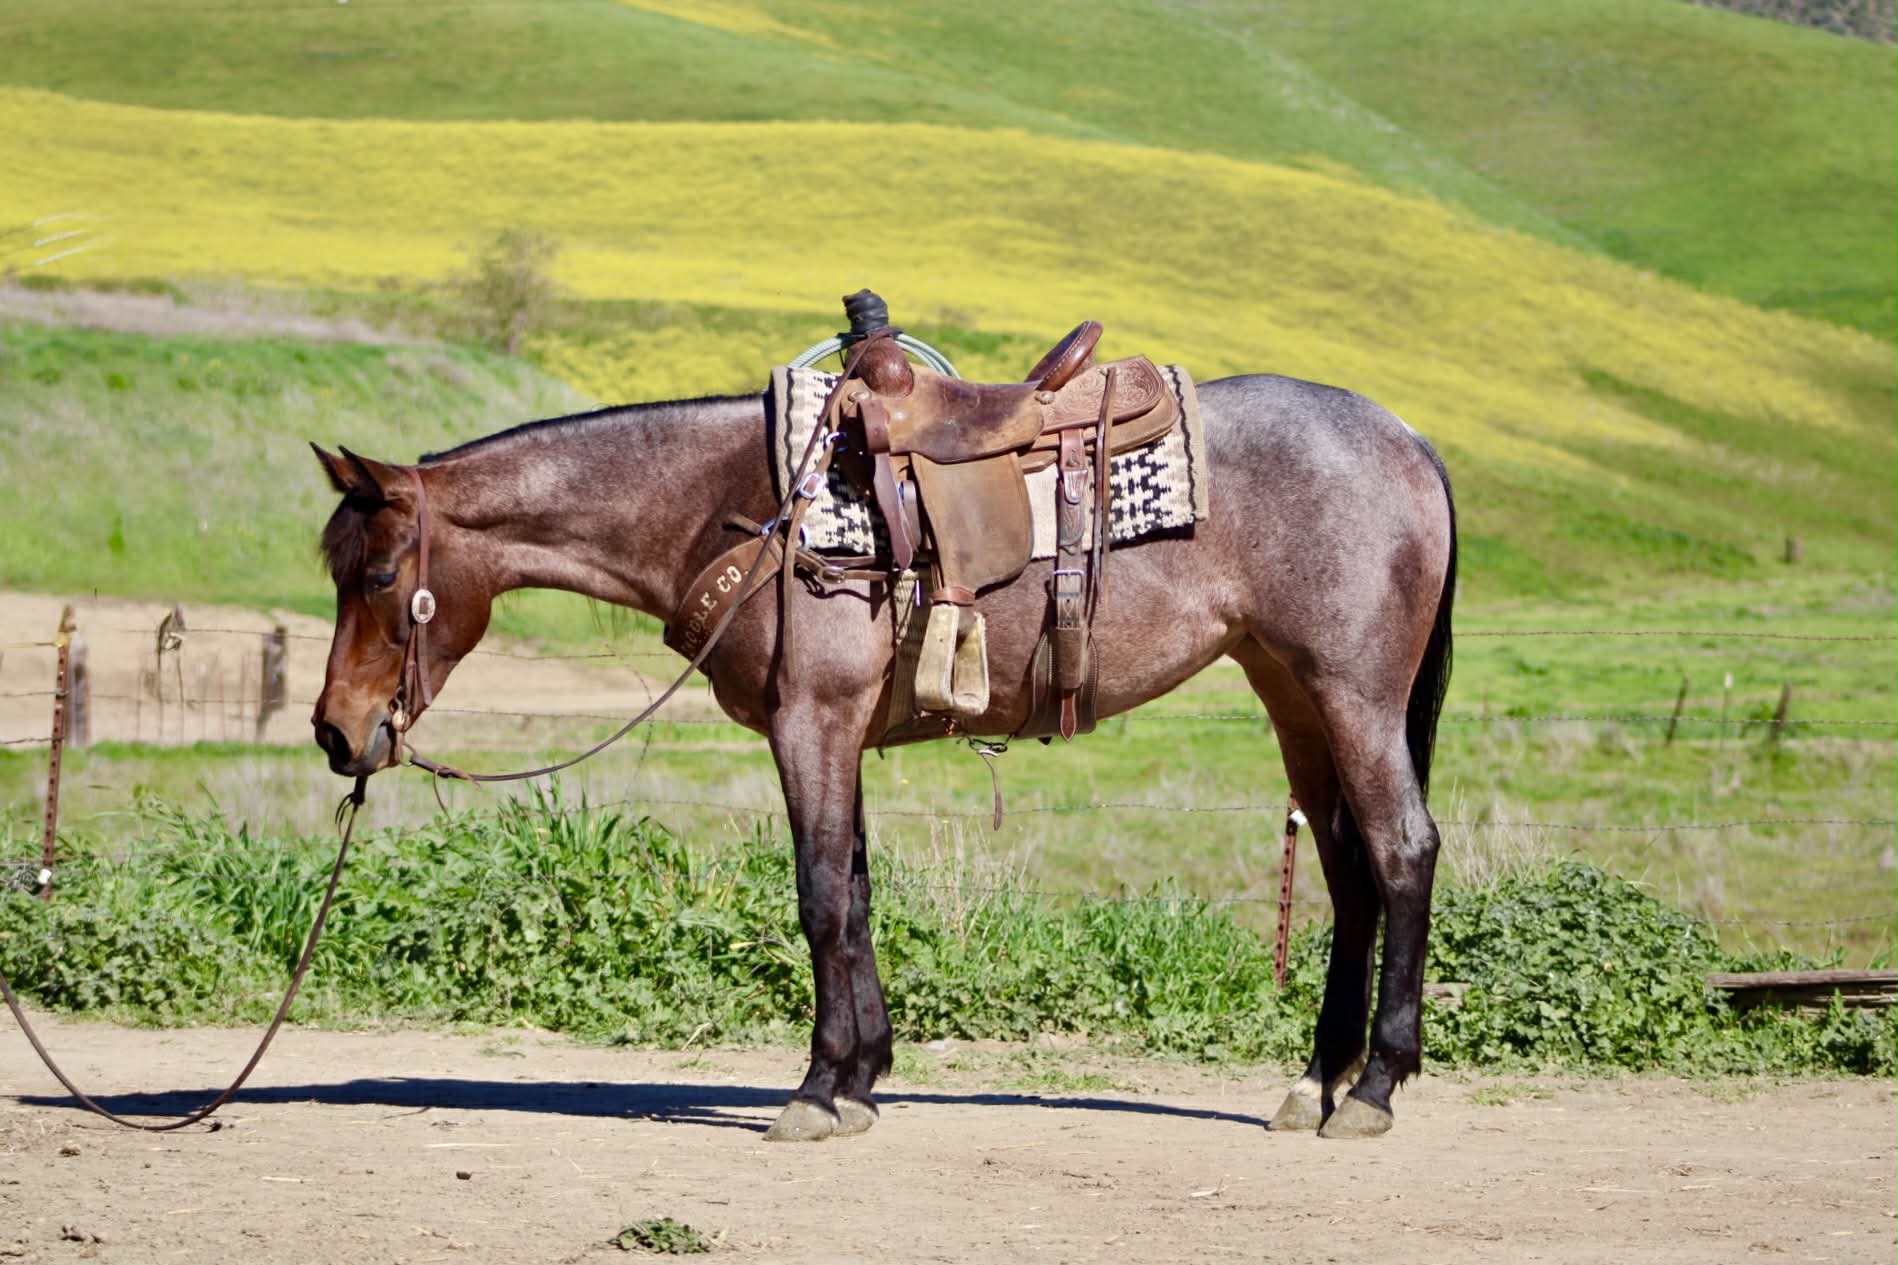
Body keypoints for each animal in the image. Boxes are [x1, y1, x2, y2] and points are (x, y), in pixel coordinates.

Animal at [309, 360, 1456, 1143]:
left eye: (377, 576)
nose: (335, 729)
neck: (737, 507)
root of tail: (1408, 437)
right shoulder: (840, 733)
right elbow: (855, 891)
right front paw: (863, 1075)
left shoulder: (809, 721)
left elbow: (819, 893)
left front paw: (818, 1089)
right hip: (1291, 693)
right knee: (1348, 868)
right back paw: (1314, 1081)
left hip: (1352, 693)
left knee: (1401, 851)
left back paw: (1372, 1087)